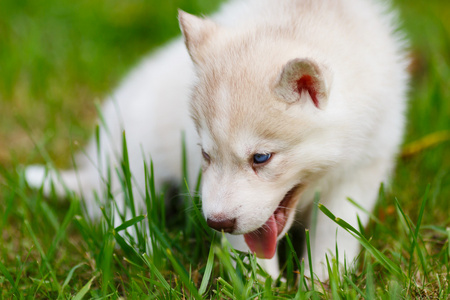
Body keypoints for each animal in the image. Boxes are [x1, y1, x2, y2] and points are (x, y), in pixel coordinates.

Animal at [26, 0, 410, 282]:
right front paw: (263, 285)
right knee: (112, 206)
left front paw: (320, 283)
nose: (216, 223)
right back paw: (146, 246)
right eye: (206, 154)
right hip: (131, 155)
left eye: (261, 158)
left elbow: (335, 236)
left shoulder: (361, 171)